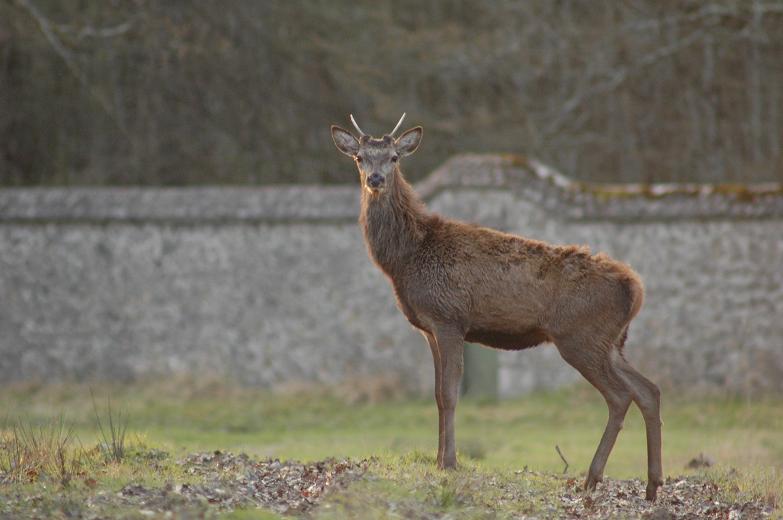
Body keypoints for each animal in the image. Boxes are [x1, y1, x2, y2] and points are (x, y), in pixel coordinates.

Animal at [330, 114, 664, 501]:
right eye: (360, 158)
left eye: (395, 157)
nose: (376, 179)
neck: (405, 259)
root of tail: (635, 288)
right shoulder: (428, 328)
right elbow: (437, 394)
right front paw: (439, 459)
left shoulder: (449, 318)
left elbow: (449, 392)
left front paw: (449, 462)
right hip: (611, 342)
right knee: (648, 390)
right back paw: (652, 484)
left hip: (580, 337)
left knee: (621, 395)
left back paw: (592, 478)